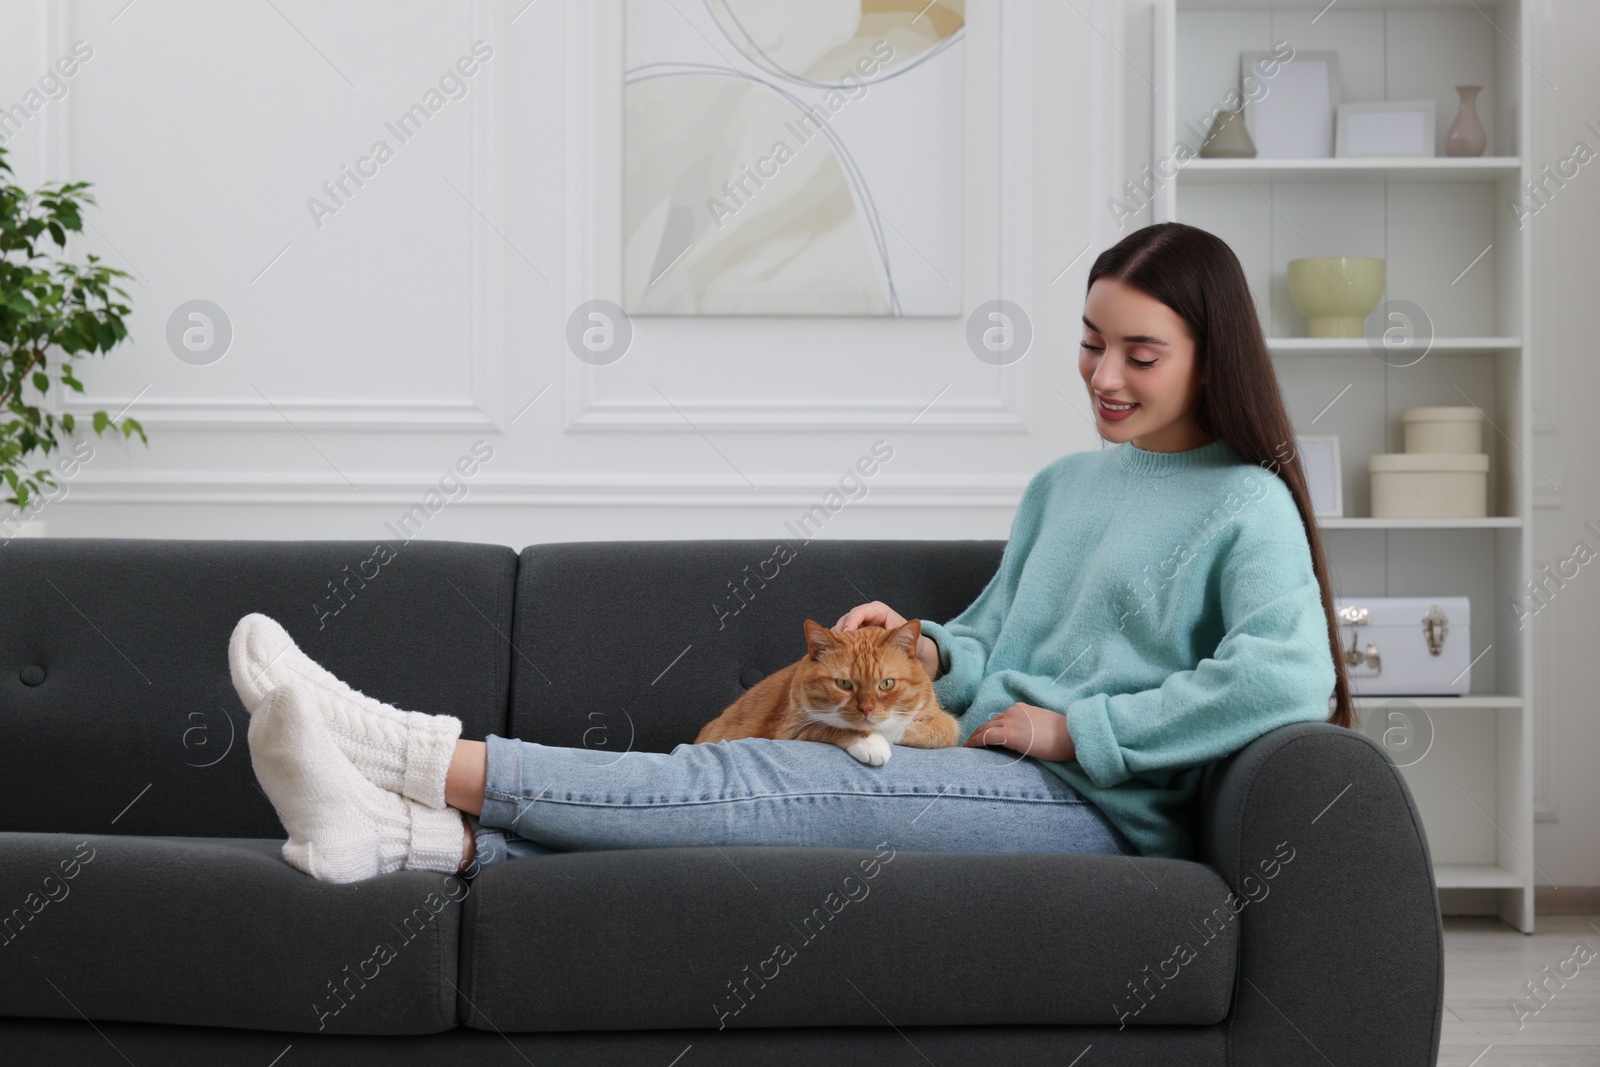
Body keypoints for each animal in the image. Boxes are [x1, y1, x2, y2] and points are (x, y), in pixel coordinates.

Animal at [691, 617, 953, 767]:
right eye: (844, 684)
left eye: (886, 684)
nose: (866, 709)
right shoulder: (790, 728)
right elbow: (832, 726)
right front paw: (871, 742)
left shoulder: (946, 722)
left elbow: (937, 731)